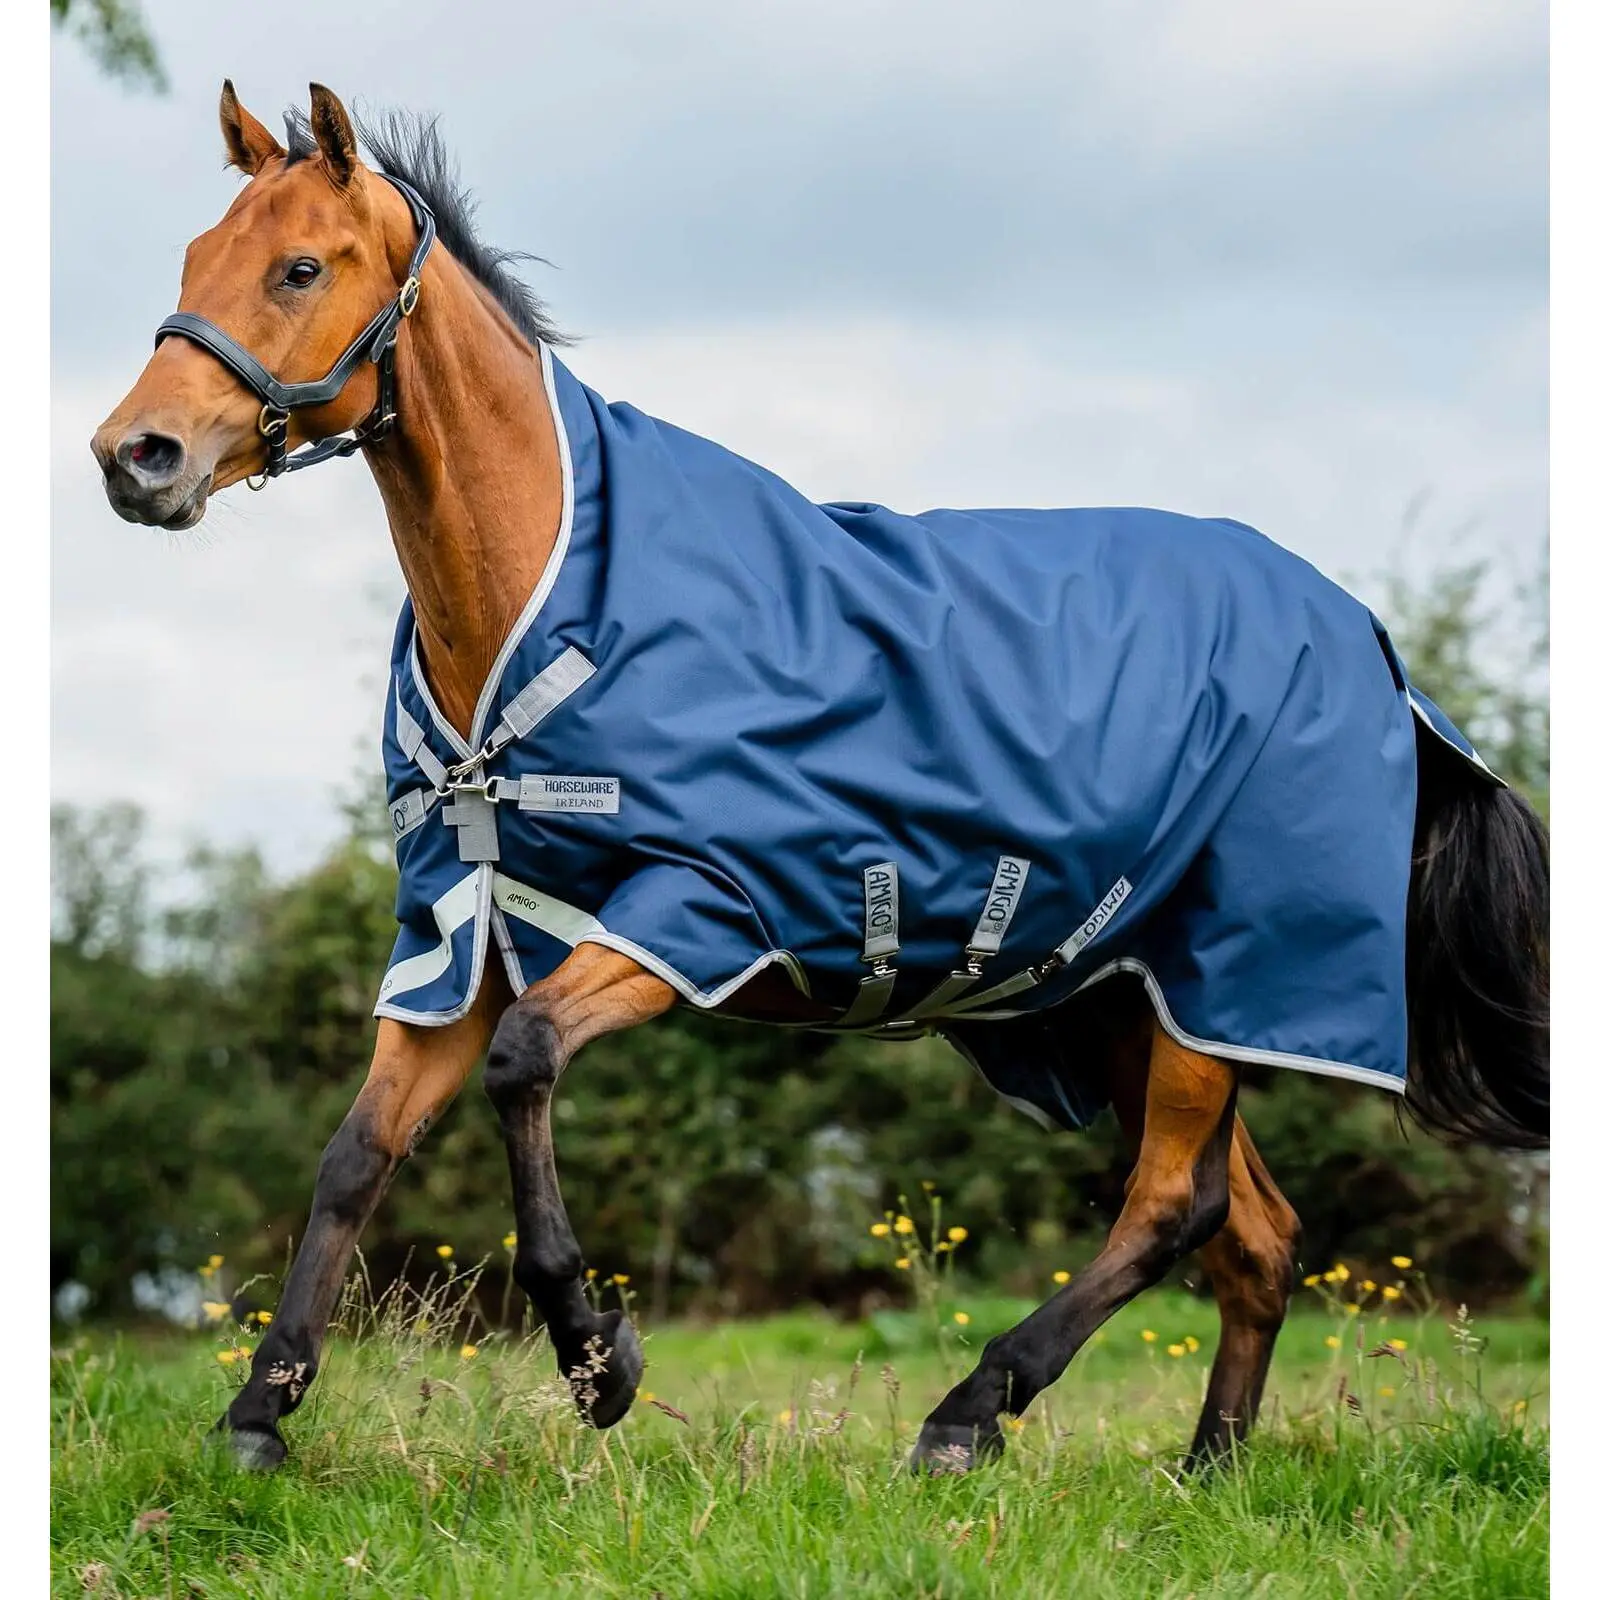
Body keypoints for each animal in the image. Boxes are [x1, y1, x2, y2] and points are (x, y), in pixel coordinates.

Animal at [91, 83, 1549, 1476]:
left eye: (299, 268)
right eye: (197, 253)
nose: (133, 456)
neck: (552, 599)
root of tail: (1376, 654)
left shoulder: (699, 904)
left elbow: (526, 1060)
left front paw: (595, 1355)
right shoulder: (461, 930)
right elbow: (355, 1153)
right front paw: (258, 1417)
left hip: (1226, 979)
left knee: (1172, 1205)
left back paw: (970, 1415)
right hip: (1132, 996)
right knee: (1253, 1233)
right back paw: (1208, 1473)